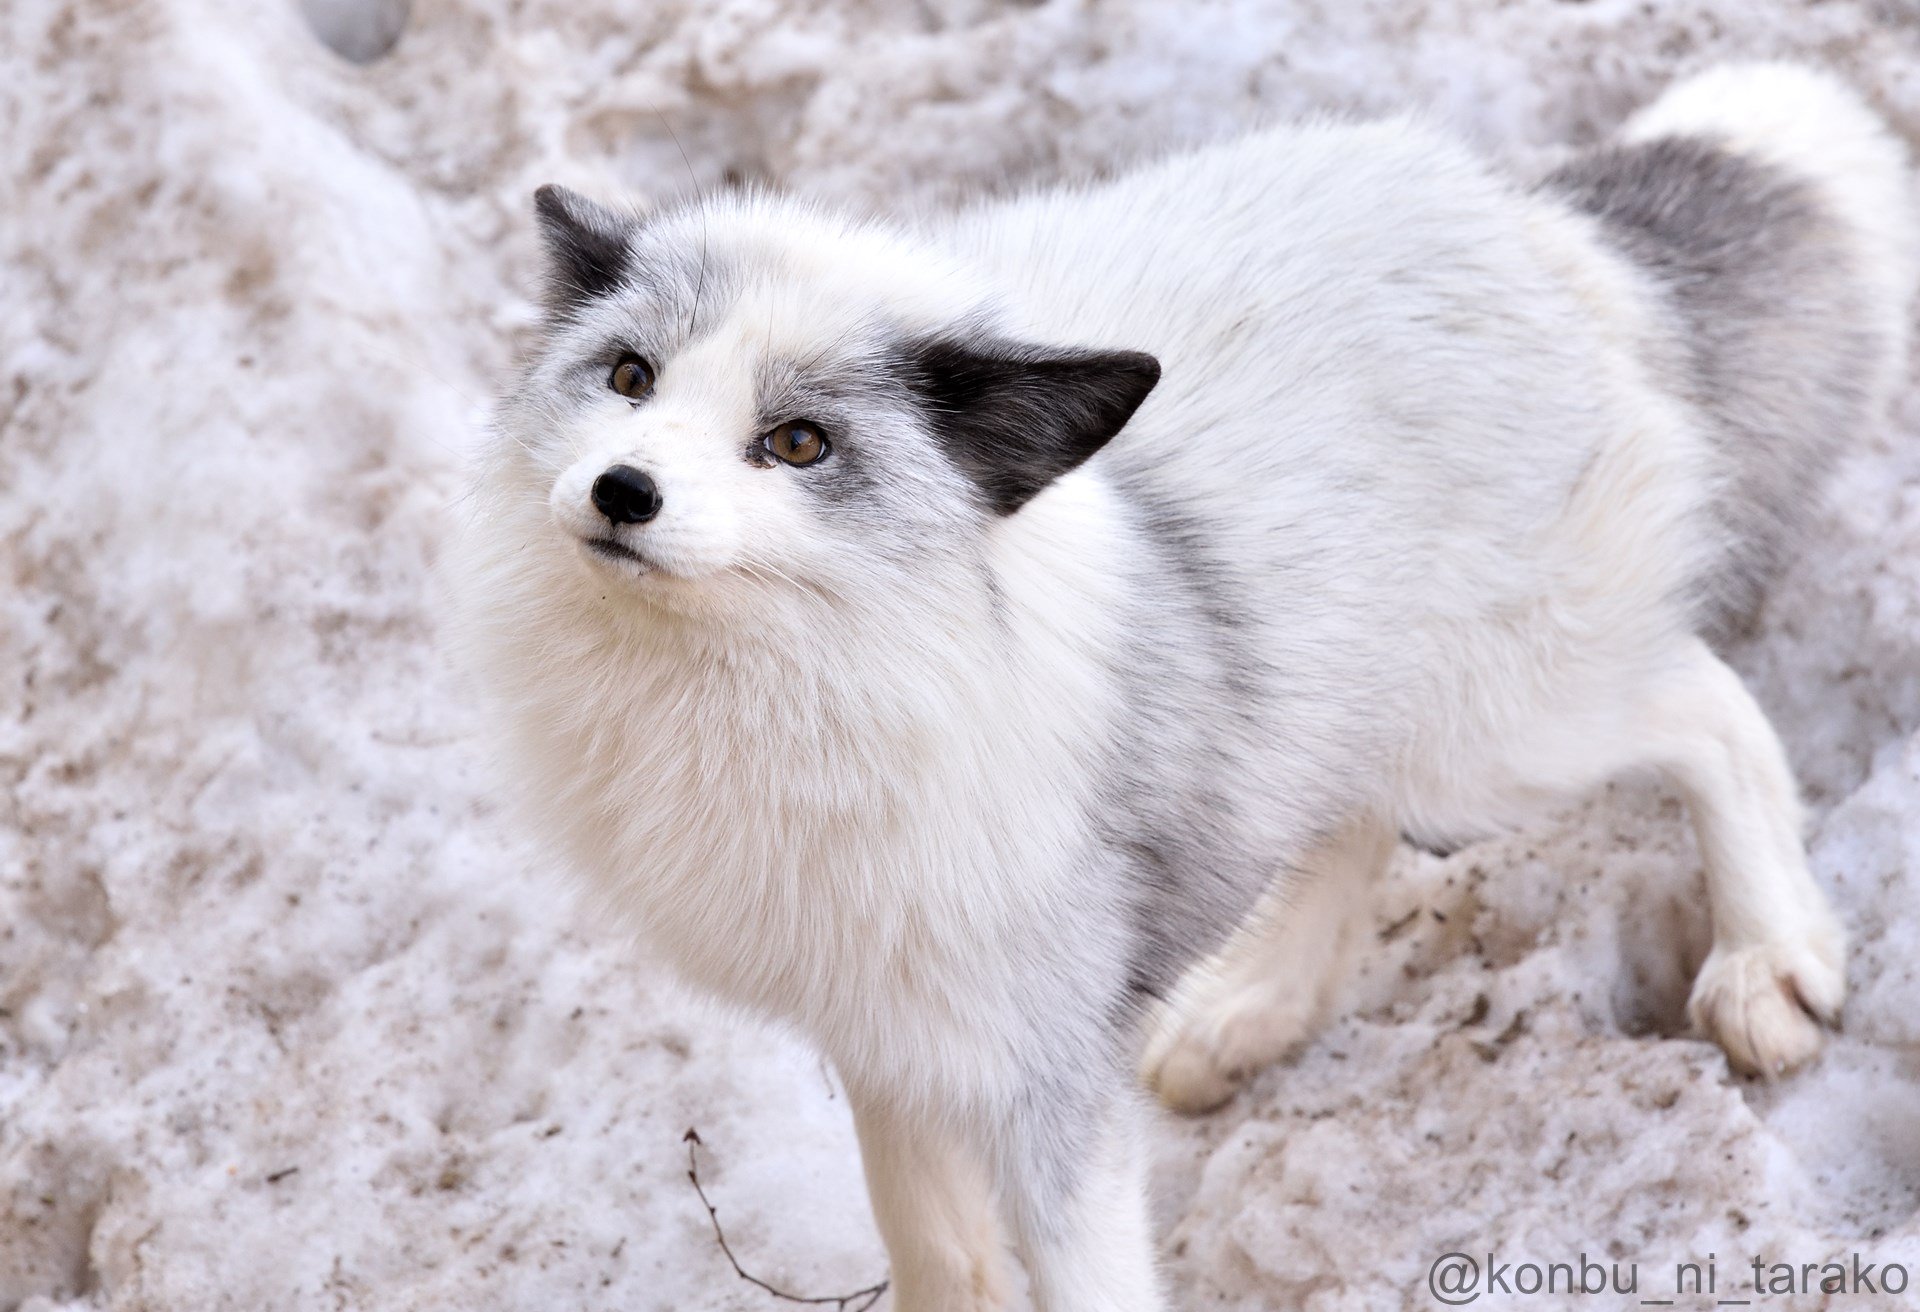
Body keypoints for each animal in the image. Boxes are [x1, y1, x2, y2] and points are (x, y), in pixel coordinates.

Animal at [457, 63, 1916, 1312]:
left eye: (798, 443)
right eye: (630, 376)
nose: (621, 490)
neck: (782, 687)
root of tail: (1524, 217)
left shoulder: (1041, 1069)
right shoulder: (891, 1026)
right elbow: (934, 1248)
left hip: (1502, 732)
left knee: (1709, 709)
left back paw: (1773, 960)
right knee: (1346, 811)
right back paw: (1250, 1009)